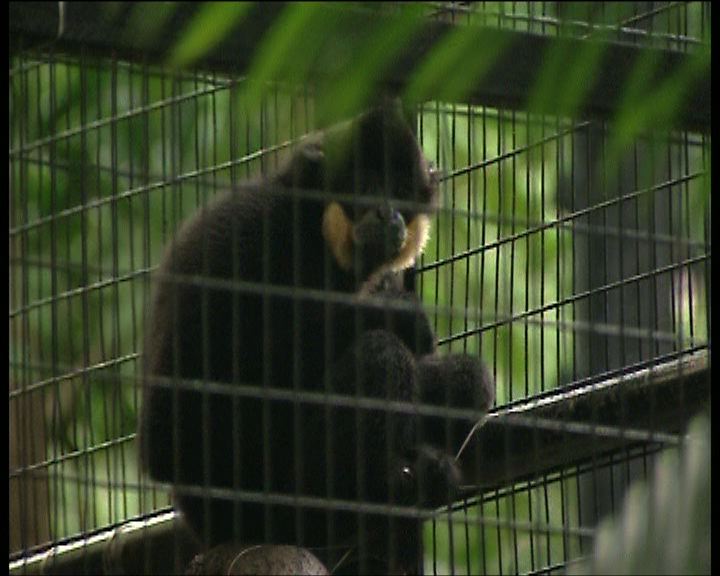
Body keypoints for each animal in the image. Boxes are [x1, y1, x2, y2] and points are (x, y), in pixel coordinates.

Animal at [138, 101, 492, 572]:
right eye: (366, 186)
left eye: (399, 191)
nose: (389, 213)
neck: (309, 232)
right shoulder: (243, 235)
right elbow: (170, 434)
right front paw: (392, 314)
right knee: (381, 355)